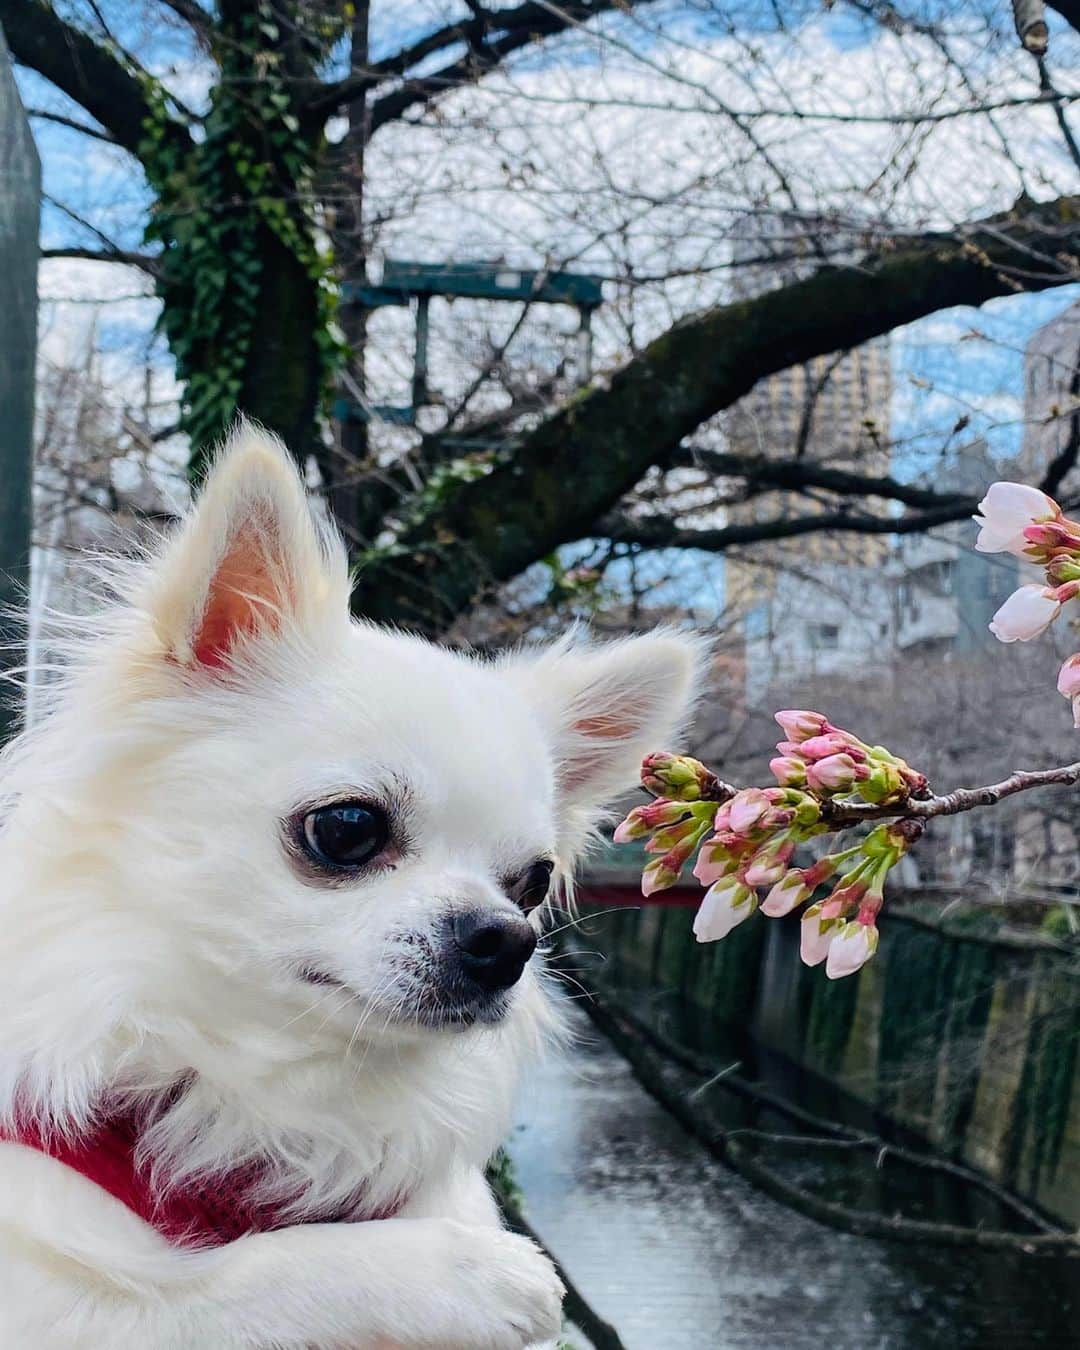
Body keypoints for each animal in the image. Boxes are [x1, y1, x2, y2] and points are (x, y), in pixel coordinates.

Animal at [0, 426, 702, 1344]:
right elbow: (231, 1278)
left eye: (532, 882)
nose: (505, 940)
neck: (271, 1084)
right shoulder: (78, 1304)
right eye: (346, 829)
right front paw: (459, 1273)